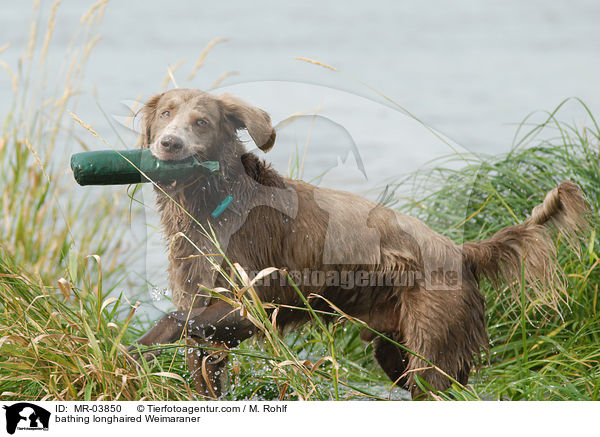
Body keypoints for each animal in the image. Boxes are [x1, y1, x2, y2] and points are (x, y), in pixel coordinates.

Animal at [132, 88, 592, 398]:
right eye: (166, 114)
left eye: (201, 122)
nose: (168, 144)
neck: (215, 200)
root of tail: (462, 252)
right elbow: (201, 360)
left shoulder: (258, 302)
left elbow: (178, 317)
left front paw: (138, 347)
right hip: (394, 351)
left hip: (433, 346)